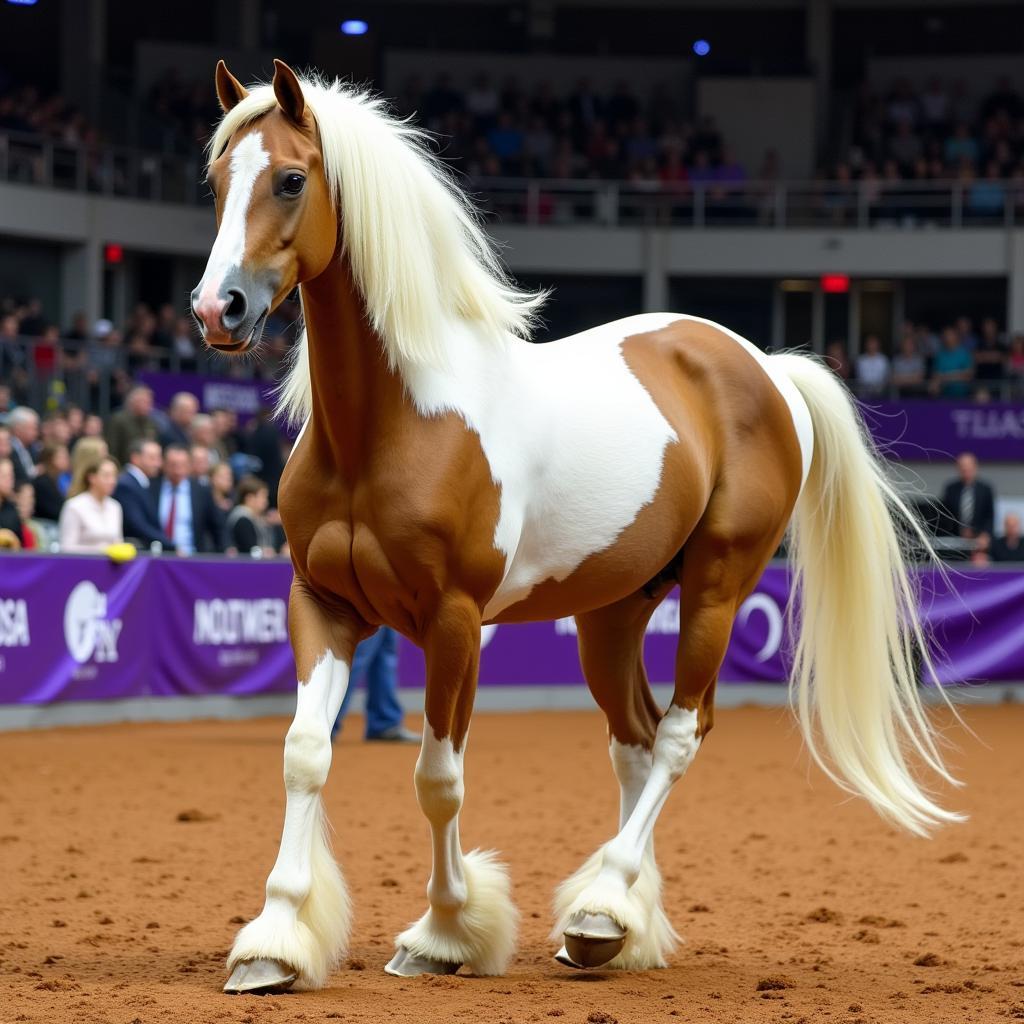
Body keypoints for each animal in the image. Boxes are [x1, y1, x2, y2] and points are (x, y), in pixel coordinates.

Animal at [190, 59, 958, 995]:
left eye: (292, 179)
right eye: (218, 179)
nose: (217, 309)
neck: (394, 421)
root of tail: (767, 368)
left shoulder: (454, 623)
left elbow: (438, 777)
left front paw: (445, 934)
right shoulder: (323, 604)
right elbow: (305, 752)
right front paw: (274, 940)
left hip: (716, 589)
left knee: (678, 736)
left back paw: (602, 908)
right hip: (612, 611)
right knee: (634, 741)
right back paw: (622, 927)